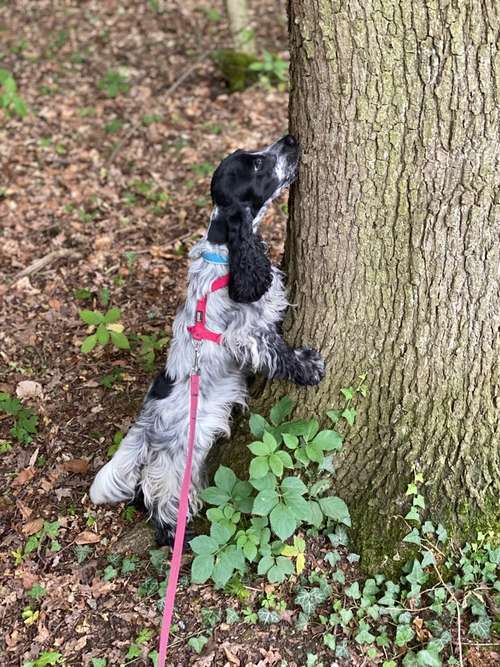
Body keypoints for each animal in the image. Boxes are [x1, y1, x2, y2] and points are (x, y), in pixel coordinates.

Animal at [89, 133, 324, 544]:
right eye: (258, 165)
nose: (290, 139)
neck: (225, 250)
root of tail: (146, 425)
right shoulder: (247, 333)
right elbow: (278, 351)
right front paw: (309, 367)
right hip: (177, 460)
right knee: (159, 495)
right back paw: (172, 533)